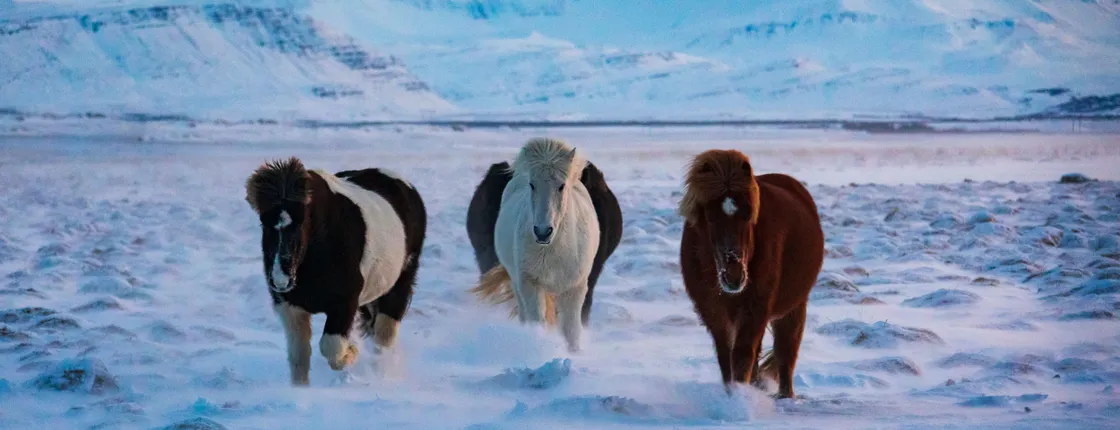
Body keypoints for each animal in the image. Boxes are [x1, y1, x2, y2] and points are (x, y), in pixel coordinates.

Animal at [244, 157, 427, 385]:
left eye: (302, 221)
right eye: (264, 223)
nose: (280, 280)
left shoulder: (345, 303)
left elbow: (330, 347)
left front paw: (352, 353)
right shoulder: (291, 309)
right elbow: (298, 358)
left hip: (400, 282)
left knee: (383, 337)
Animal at [469, 138, 601, 352]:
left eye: (561, 186)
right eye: (532, 185)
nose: (542, 231)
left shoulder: (575, 288)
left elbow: (571, 330)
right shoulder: (530, 283)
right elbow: (537, 322)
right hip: (517, 283)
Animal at [677, 149, 824, 399]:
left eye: (748, 215)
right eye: (710, 217)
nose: (734, 277)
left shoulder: (756, 308)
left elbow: (743, 355)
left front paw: (740, 397)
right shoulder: (712, 311)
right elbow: (726, 356)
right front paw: (733, 395)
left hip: (793, 307)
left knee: (786, 353)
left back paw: (785, 396)